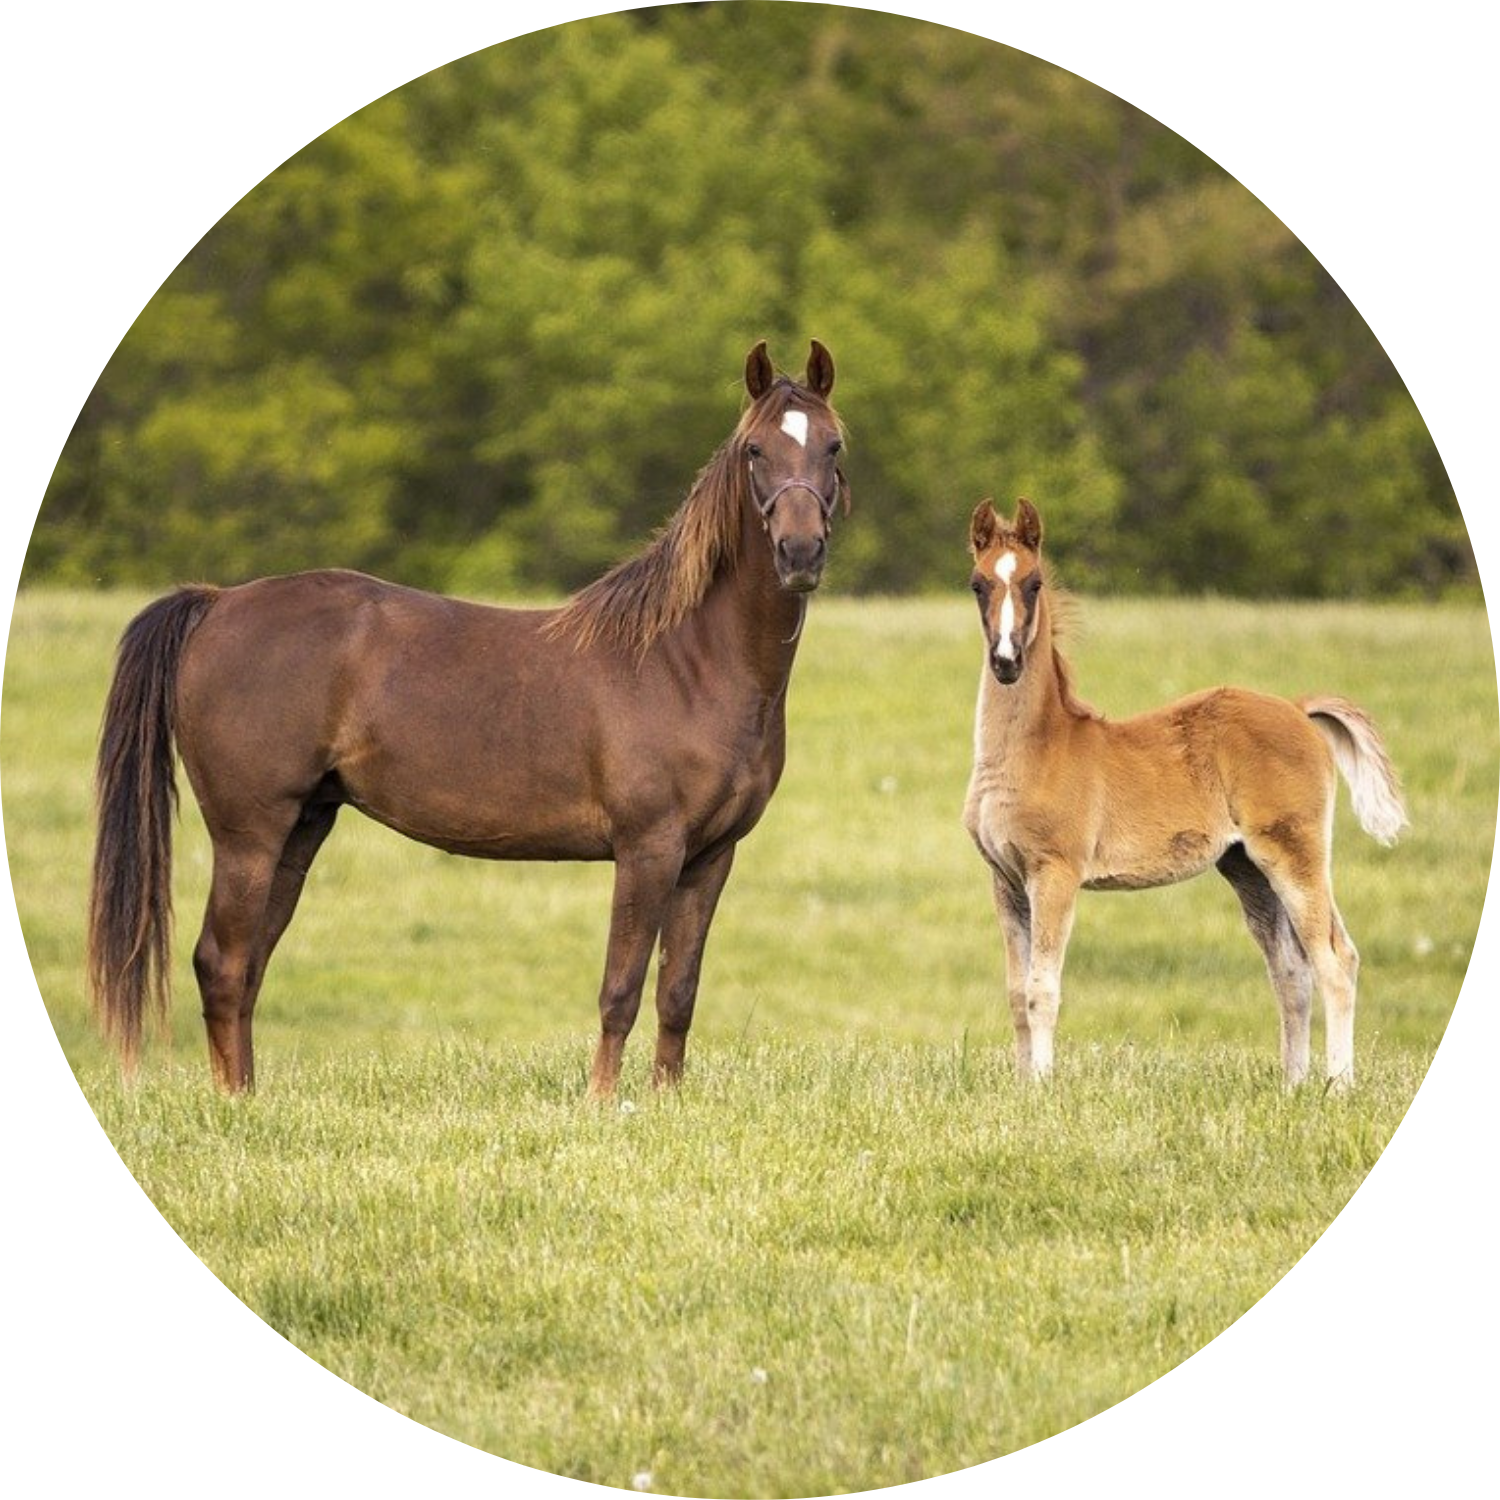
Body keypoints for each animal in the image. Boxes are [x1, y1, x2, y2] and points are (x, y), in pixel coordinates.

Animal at [88, 340, 849, 1097]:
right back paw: (236, 1106)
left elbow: (677, 992)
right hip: (249, 833)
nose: (800, 552)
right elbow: (622, 989)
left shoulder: (710, 856)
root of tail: (217, 604)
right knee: (222, 963)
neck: (684, 660)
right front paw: (602, 1103)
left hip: (300, 829)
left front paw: (665, 1100)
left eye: (834, 445)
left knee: (247, 968)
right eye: (754, 449)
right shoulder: (648, 848)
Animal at [961, 498, 1407, 1089]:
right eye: (978, 584)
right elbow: (1015, 993)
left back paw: (1337, 1089)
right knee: (1291, 970)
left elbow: (1042, 990)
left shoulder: (1055, 872)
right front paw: (1021, 1087)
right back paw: (1293, 1087)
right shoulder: (1005, 879)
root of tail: (1296, 708)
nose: (1007, 662)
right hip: (1246, 866)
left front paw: (1043, 1089)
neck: (1037, 748)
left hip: (1295, 852)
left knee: (1335, 958)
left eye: (1033, 584)